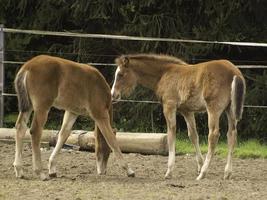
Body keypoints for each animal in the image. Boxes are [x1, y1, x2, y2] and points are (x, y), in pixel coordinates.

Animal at [111, 54, 247, 180]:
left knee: (213, 135)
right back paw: (227, 173)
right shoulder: (187, 111)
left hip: (213, 109)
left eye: (121, 74)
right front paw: (199, 165)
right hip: (230, 110)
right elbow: (193, 136)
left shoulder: (169, 106)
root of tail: (234, 72)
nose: (113, 95)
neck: (164, 74)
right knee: (231, 135)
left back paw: (203, 174)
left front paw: (169, 171)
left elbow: (171, 134)